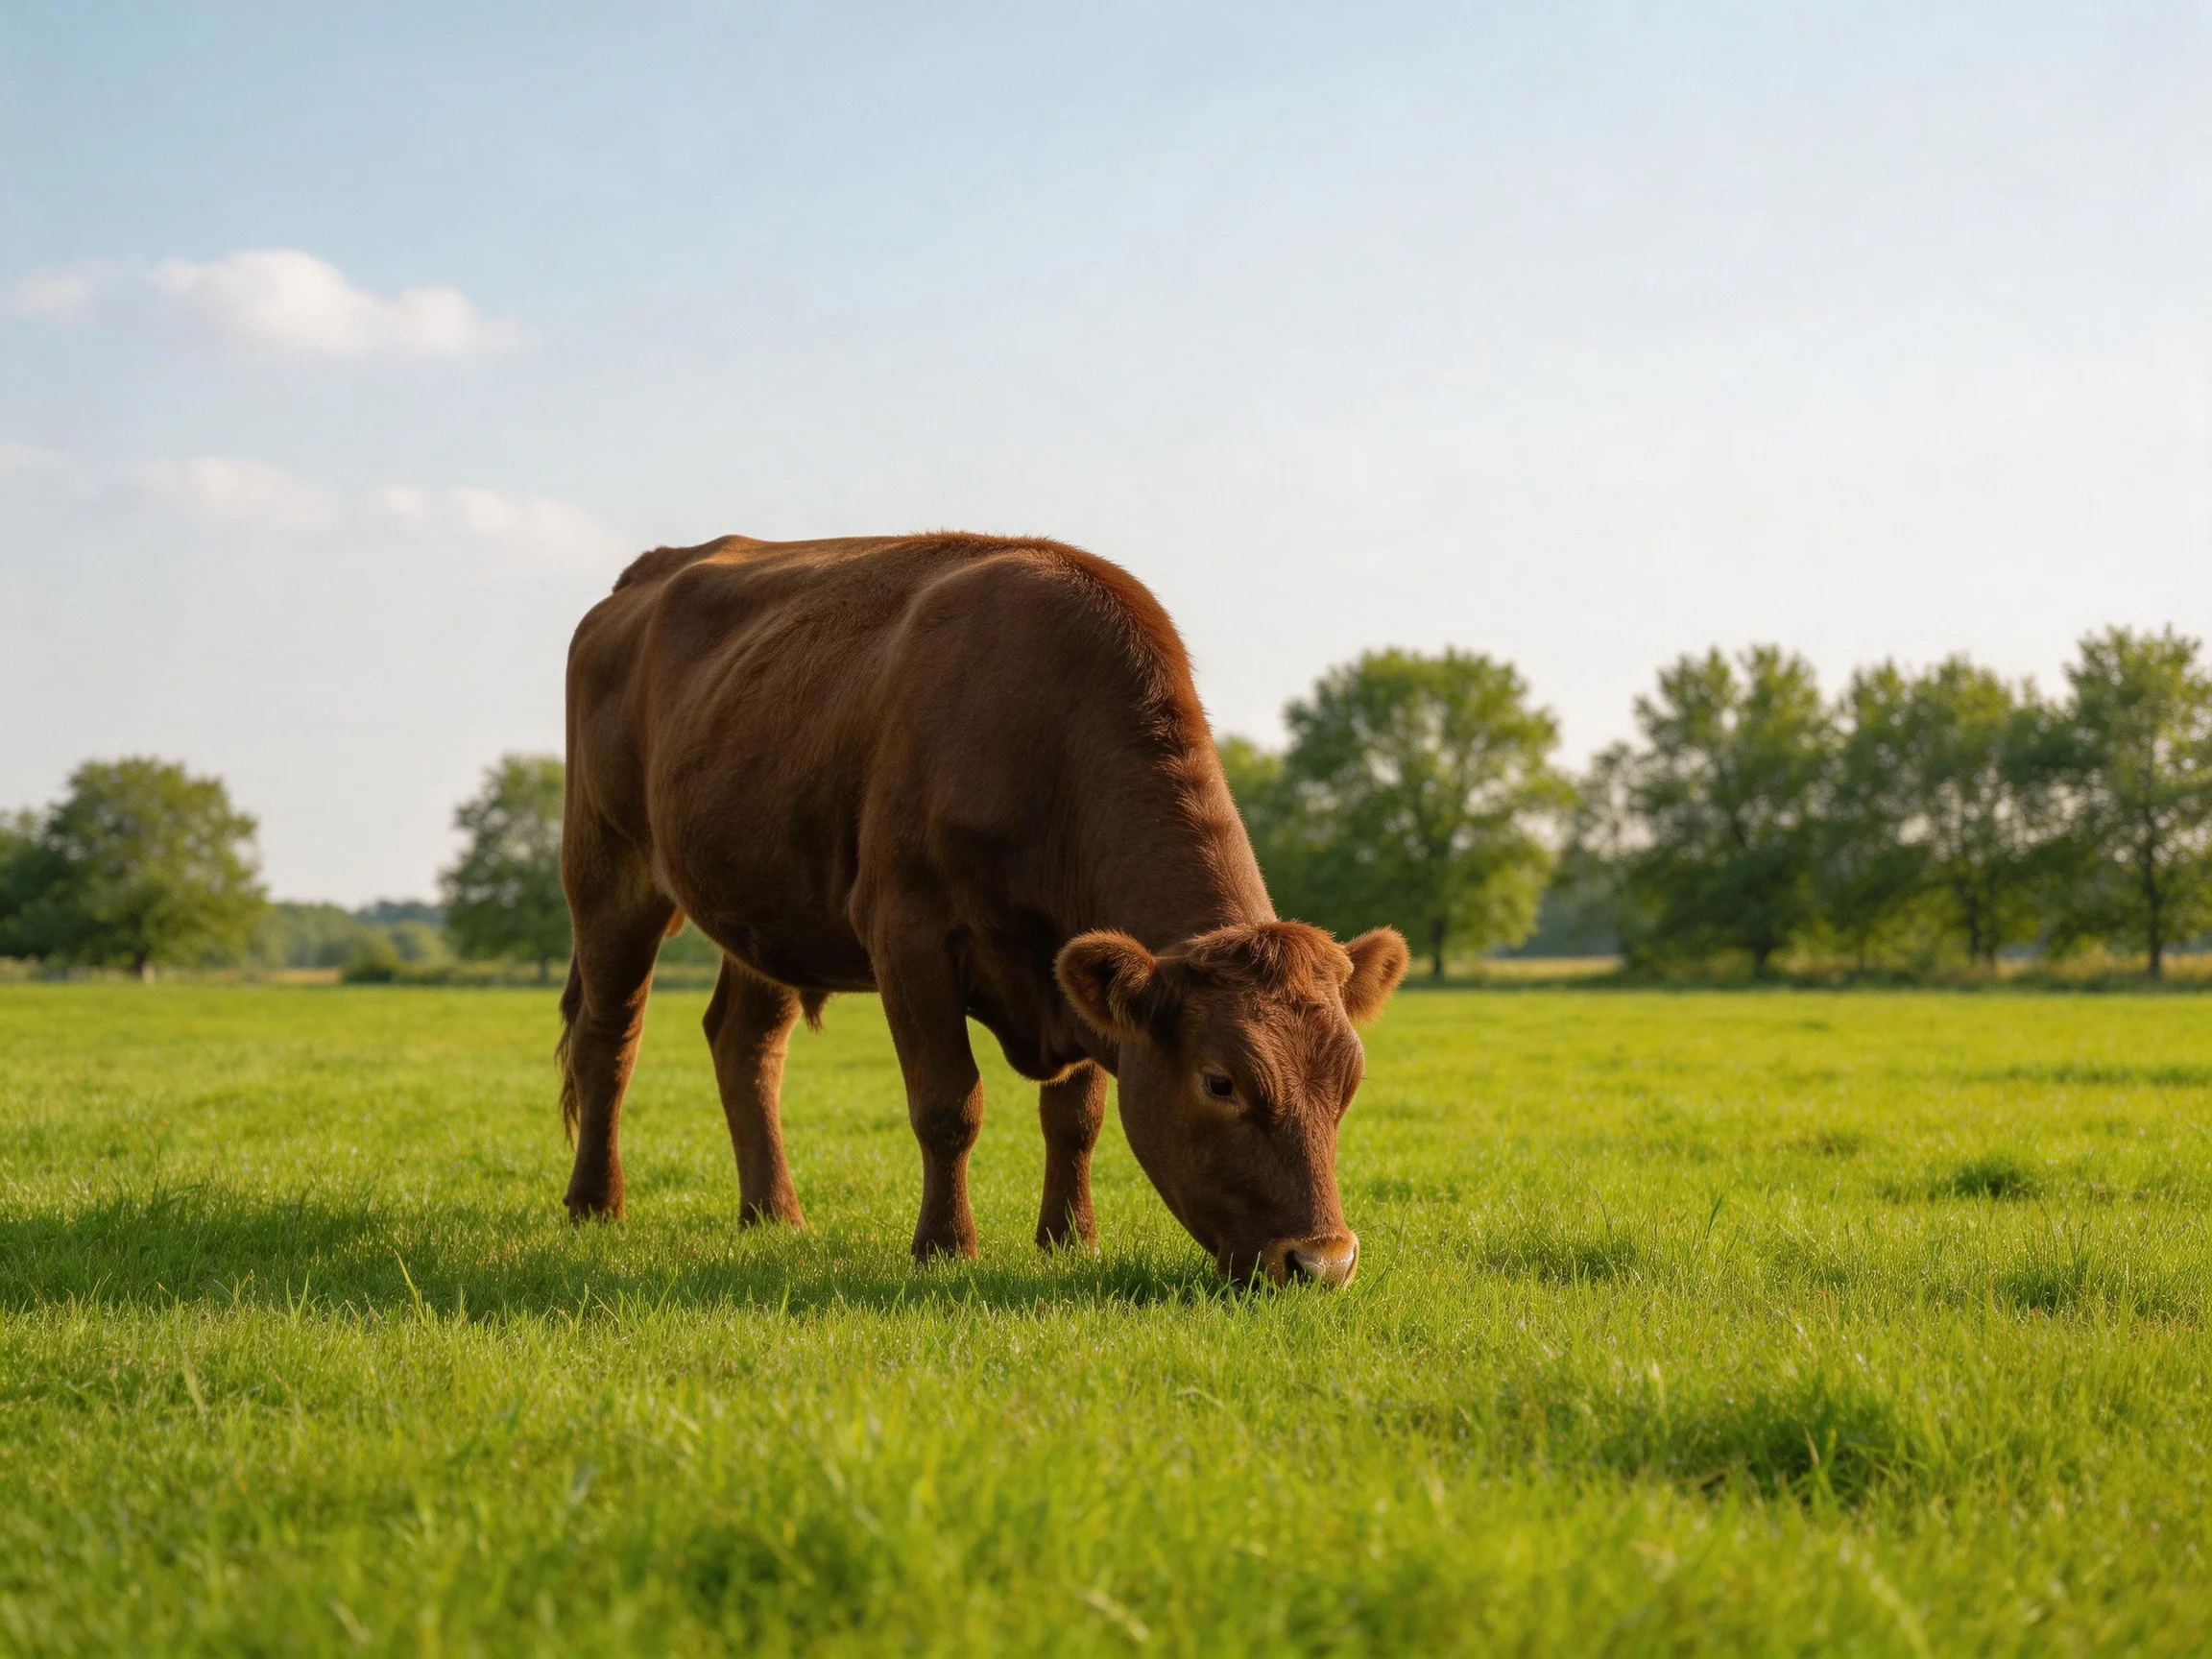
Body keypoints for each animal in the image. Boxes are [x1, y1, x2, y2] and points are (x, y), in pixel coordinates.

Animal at [556, 532, 1409, 1286]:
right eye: (1221, 1082)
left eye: (1350, 1077)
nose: (1323, 1262)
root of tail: (652, 569)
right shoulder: (907, 931)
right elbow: (949, 1103)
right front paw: (945, 1248)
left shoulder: (1075, 960)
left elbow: (1076, 1117)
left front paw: (1070, 1241)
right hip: (607, 869)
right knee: (610, 1035)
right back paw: (595, 1203)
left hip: (766, 907)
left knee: (745, 1044)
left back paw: (774, 1214)